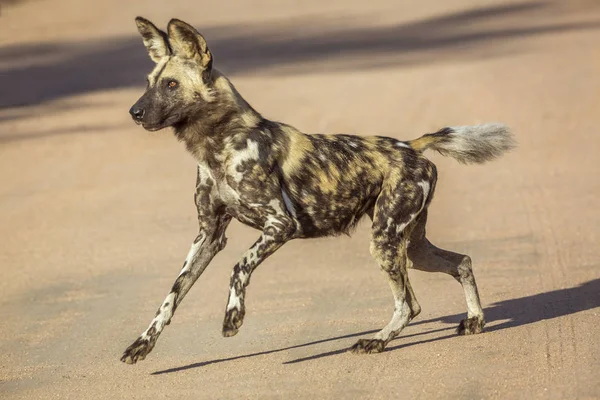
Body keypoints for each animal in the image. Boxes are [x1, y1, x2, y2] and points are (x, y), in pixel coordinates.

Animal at [120, 17, 516, 364]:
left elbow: (238, 266)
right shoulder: (208, 235)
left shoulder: (280, 225)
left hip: (385, 241)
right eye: (149, 81)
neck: (217, 146)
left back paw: (376, 341)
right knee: (460, 263)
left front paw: (233, 318)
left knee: (409, 303)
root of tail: (412, 146)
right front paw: (142, 344)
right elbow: (172, 295)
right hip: (411, 247)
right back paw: (475, 321)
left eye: (171, 84)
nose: (134, 112)